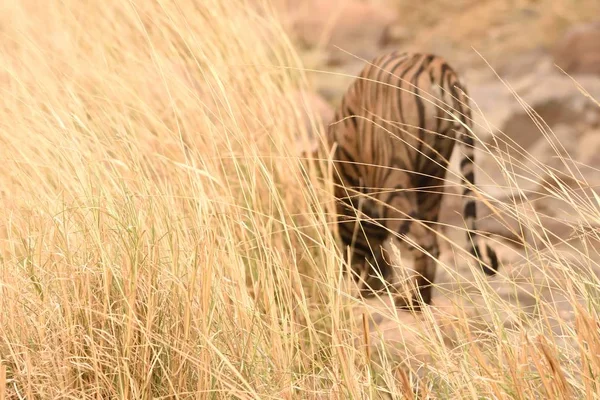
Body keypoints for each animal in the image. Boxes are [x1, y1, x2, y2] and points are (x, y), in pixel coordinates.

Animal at [322, 51, 500, 310]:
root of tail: (435, 63)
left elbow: (366, 251)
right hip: (433, 178)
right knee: (431, 238)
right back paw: (418, 297)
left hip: (392, 178)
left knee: (423, 242)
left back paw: (410, 300)